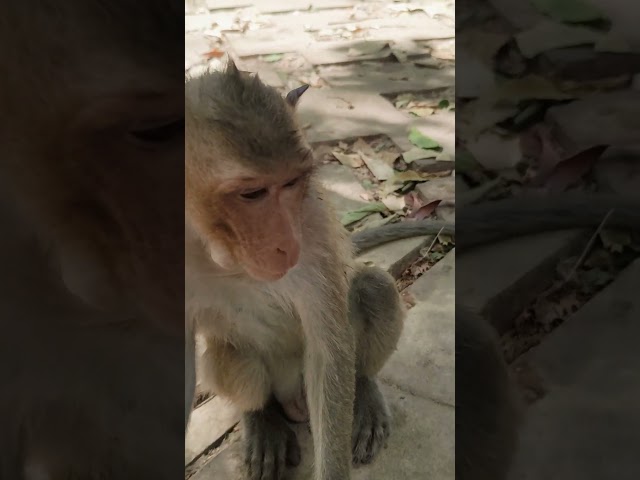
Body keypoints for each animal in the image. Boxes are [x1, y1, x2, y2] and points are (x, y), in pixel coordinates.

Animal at [185, 62, 404, 478]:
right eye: (252, 194)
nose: (288, 243)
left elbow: (328, 351)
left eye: (291, 182)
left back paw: (364, 390)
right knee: (225, 356)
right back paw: (262, 418)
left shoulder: (312, 223)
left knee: (373, 288)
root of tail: (292, 398)